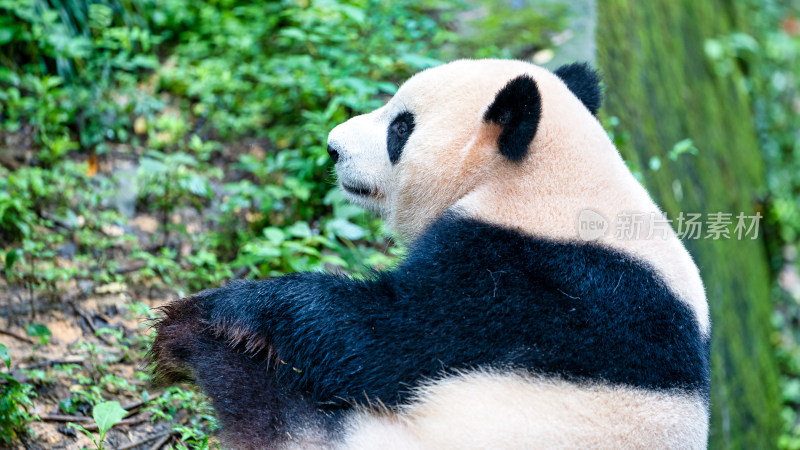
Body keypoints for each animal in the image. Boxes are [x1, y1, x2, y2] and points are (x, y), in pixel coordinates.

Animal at [152, 58, 712, 448]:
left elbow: (385, 338)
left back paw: (191, 341)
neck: (551, 182)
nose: (333, 146)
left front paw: (233, 305)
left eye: (401, 127)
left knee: (268, 400)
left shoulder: (524, 284)